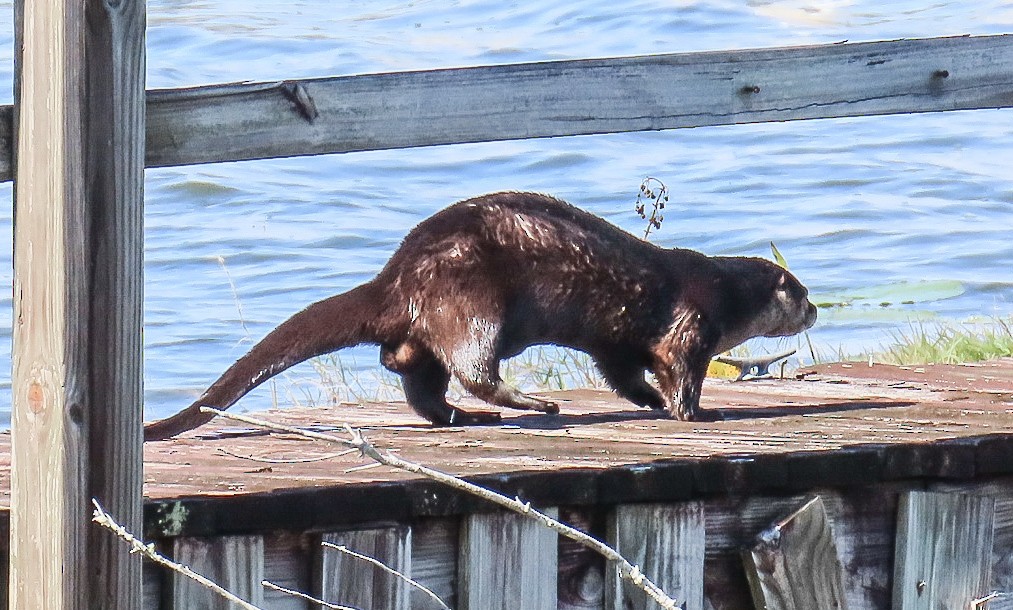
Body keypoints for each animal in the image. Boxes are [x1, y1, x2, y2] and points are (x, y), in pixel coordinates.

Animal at [144, 192, 817, 440]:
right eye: (804, 292)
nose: (814, 311)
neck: (724, 291)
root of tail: (399, 274)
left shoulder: (616, 342)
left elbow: (624, 373)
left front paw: (648, 401)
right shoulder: (692, 324)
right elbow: (680, 373)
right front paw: (698, 410)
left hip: (434, 324)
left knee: (413, 370)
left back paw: (460, 416)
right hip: (473, 301)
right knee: (472, 364)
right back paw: (534, 405)